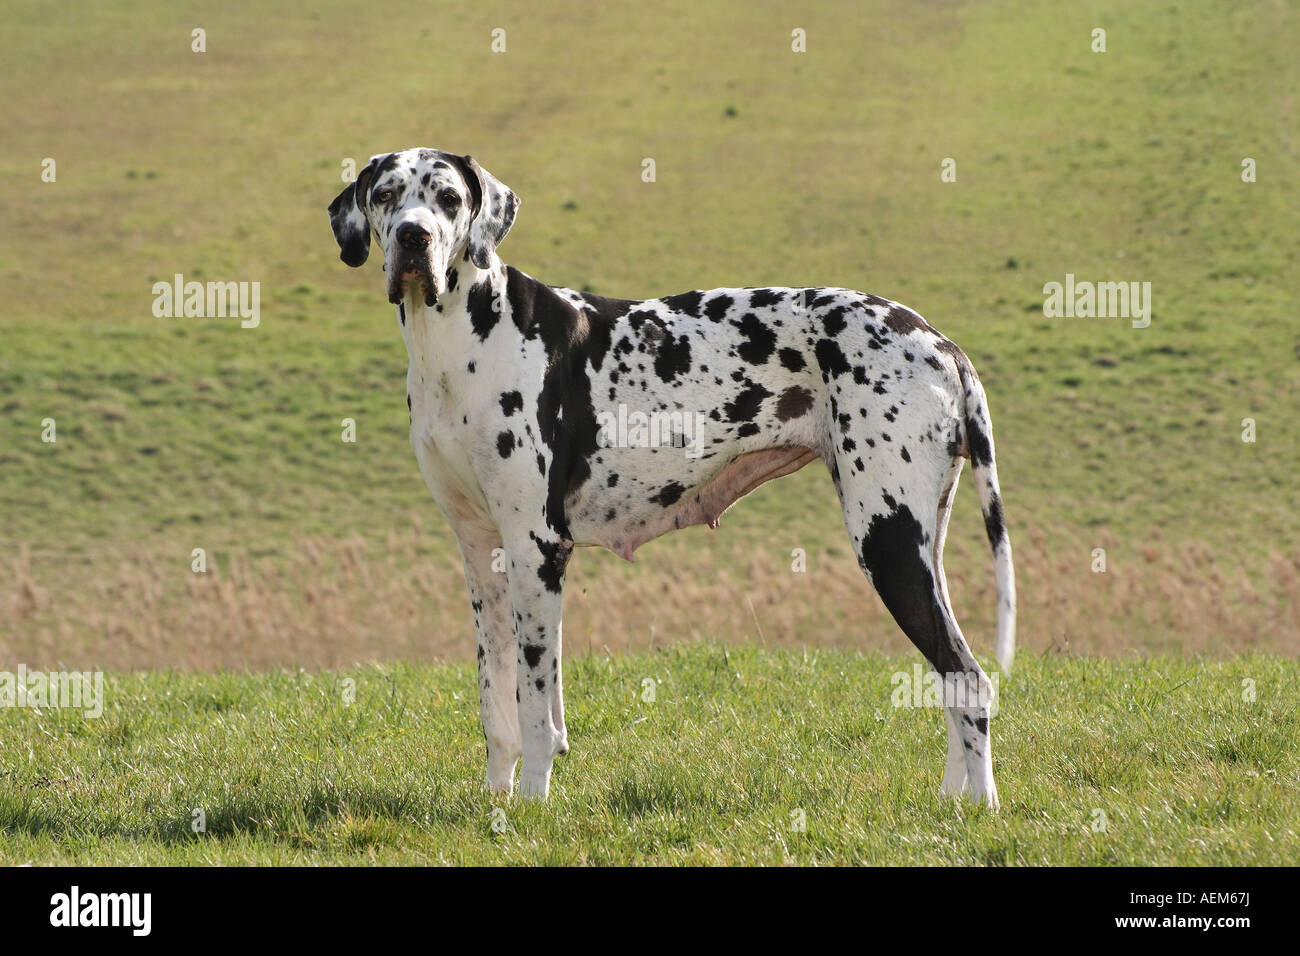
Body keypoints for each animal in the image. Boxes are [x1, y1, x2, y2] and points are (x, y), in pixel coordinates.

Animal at [325, 147, 1013, 806]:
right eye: (387, 194)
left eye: (448, 197)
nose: (414, 237)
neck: (458, 343)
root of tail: (939, 342)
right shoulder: (482, 556)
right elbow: (498, 710)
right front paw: (496, 800)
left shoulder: (537, 550)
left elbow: (537, 710)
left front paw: (531, 805)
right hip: (919, 546)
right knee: (951, 680)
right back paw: (953, 801)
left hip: (888, 543)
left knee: (968, 679)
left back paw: (979, 808)